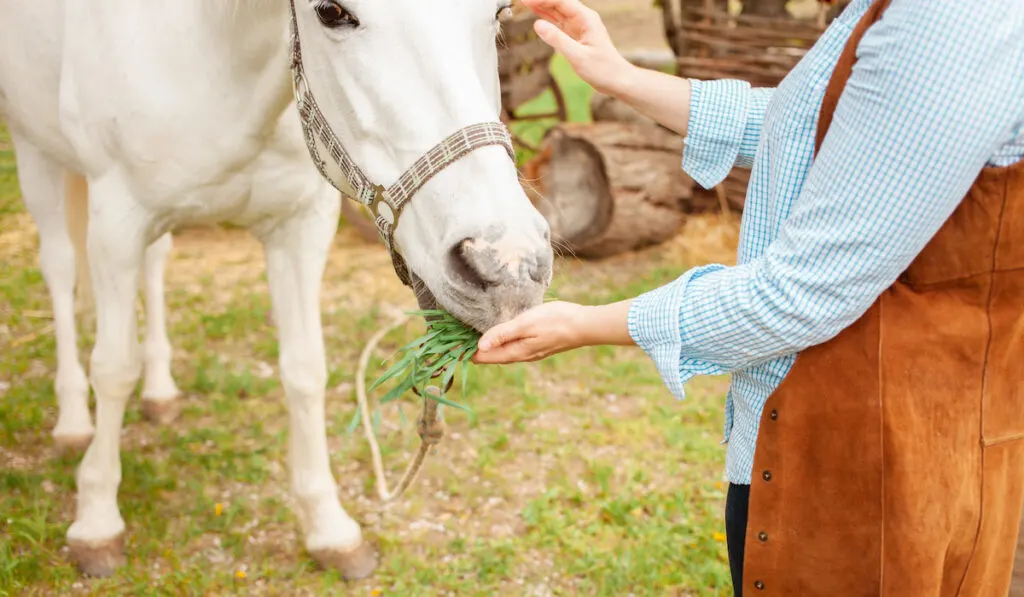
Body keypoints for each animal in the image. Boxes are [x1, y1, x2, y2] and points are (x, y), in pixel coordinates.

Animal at [0, 0, 552, 577]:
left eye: (498, 11)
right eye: (331, 12)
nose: (508, 265)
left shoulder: (300, 225)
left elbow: (305, 370)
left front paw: (328, 526)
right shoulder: (116, 226)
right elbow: (111, 369)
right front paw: (96, 520)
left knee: (154, 265)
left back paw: (160, 391)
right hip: (34, 152)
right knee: (60, 269)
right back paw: (71, 423)